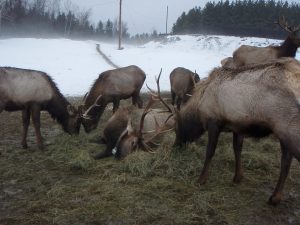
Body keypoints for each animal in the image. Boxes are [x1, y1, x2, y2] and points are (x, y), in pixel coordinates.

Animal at [175, 57, 300, 204]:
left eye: (176, 128)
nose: (175, 146)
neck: (200, 107)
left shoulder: (214, 121)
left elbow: (210, 151)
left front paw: (201, 179)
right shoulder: (238, 125)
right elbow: (237, 149)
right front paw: (237, 177)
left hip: (288, 128)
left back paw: (274, 198)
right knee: (286, 159)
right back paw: (276, 196)